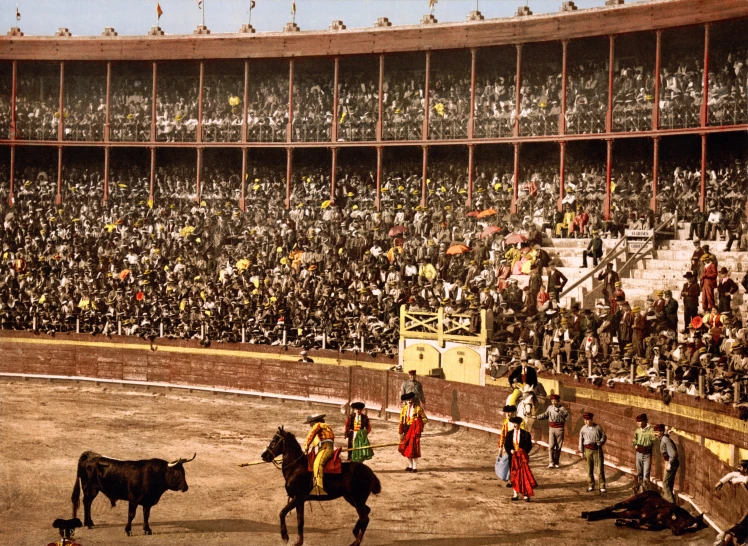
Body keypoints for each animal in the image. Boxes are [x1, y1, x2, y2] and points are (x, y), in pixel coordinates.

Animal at [580, 488, 708, 532]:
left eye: (693, 529)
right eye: (690, 523)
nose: (677, 532)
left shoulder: (655, 525)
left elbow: (642, 525)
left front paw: (622, 522)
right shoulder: (653, 512)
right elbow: (642, 521)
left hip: (630, 511)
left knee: (612, 513)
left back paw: (590, 515)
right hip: (629, 502)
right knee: (611, 507)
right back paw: (587, 514)